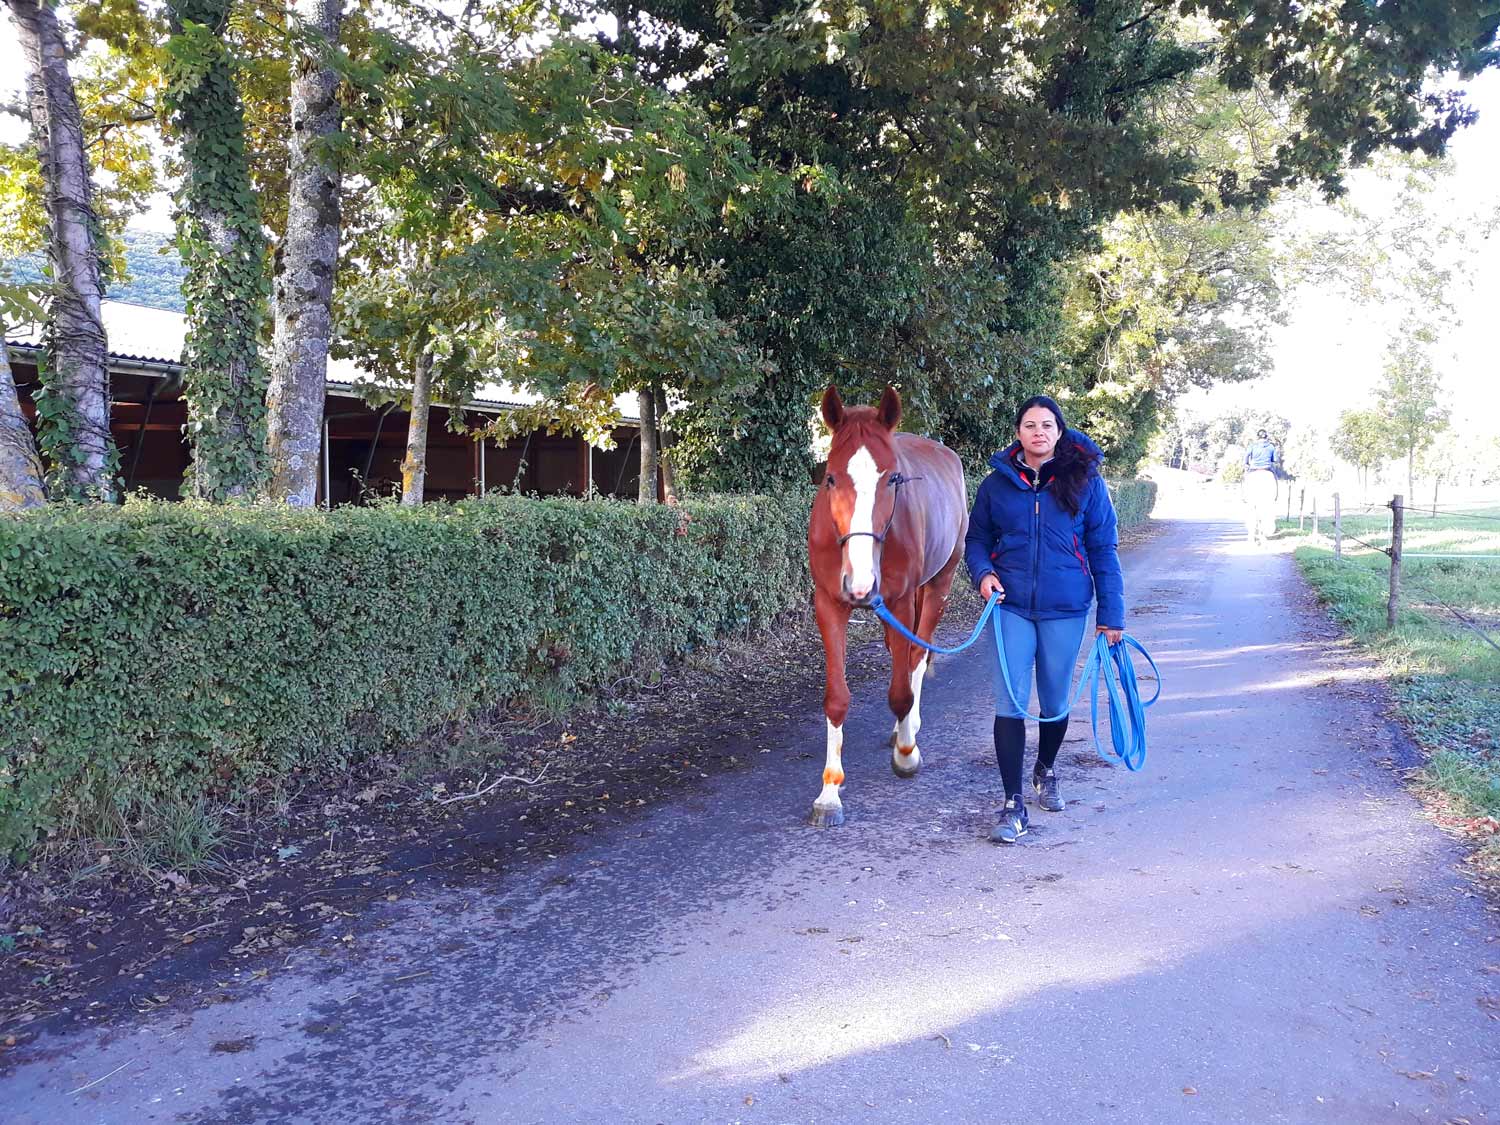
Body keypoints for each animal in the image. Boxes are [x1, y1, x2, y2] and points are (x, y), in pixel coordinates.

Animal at [810, 387, 972, 828]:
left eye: (893, 478)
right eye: (831, 478)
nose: (861, 582)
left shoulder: (900, 602)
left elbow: (901, 689)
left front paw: (906, 753)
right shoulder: (829, 604)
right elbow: (836, 698)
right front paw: (829, 792)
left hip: (938, 586)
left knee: (917, 655)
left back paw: (908, 728)